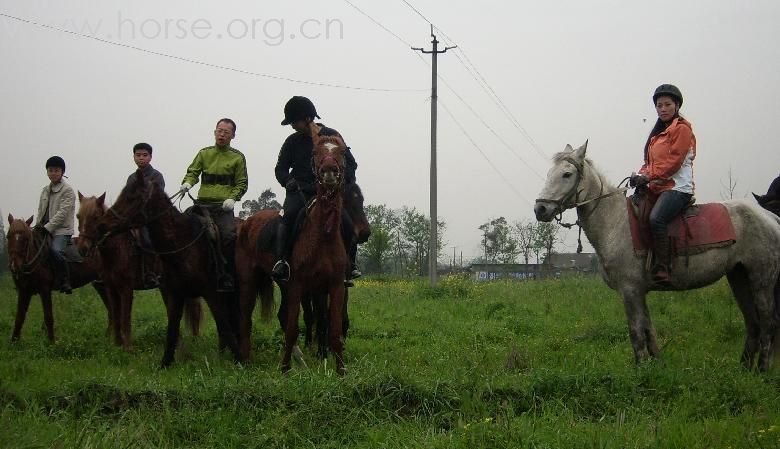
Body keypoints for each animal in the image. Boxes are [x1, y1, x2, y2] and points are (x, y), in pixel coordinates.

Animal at [6, 214, 109, 344]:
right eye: (8, 236)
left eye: (26, 239)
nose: (14, 266)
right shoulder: (24, 291)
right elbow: (19, 317)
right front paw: (14, 342)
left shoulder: (45, 290)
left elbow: (48, 316)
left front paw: (52, 342)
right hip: (100, 285)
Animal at [75, 192, 201, 350]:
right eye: (78, 216)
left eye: (96, 217)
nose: (82, 248)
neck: (117, 248)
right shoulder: (110, 288)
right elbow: (116, 315)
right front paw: (117, 345)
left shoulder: (126, 289)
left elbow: (125, 318)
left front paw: (128, 348)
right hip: (166, 286)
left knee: (195, 309)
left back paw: (195, 338)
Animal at [98, 170, 244, 366]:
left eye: (131, 197)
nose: (102, 224)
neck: (183, 244)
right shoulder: (174, 293)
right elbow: (172, 329)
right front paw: (165, 363)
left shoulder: (211, 292)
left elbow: (223, 324)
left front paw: (241, 360)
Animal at [532, 142, 780, 370]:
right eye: (550, 173)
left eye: (567, 174)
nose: (540, 209)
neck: (615, 222)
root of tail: (770, 218)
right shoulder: (639, 291)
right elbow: (648, 330)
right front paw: (656, 367)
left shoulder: (630, 290)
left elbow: (636, 332)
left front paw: (641, 371)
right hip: (739, 277)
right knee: (753, 322)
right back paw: (743, 370)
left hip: (761, 279)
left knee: (768, 323)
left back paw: (761, 370)